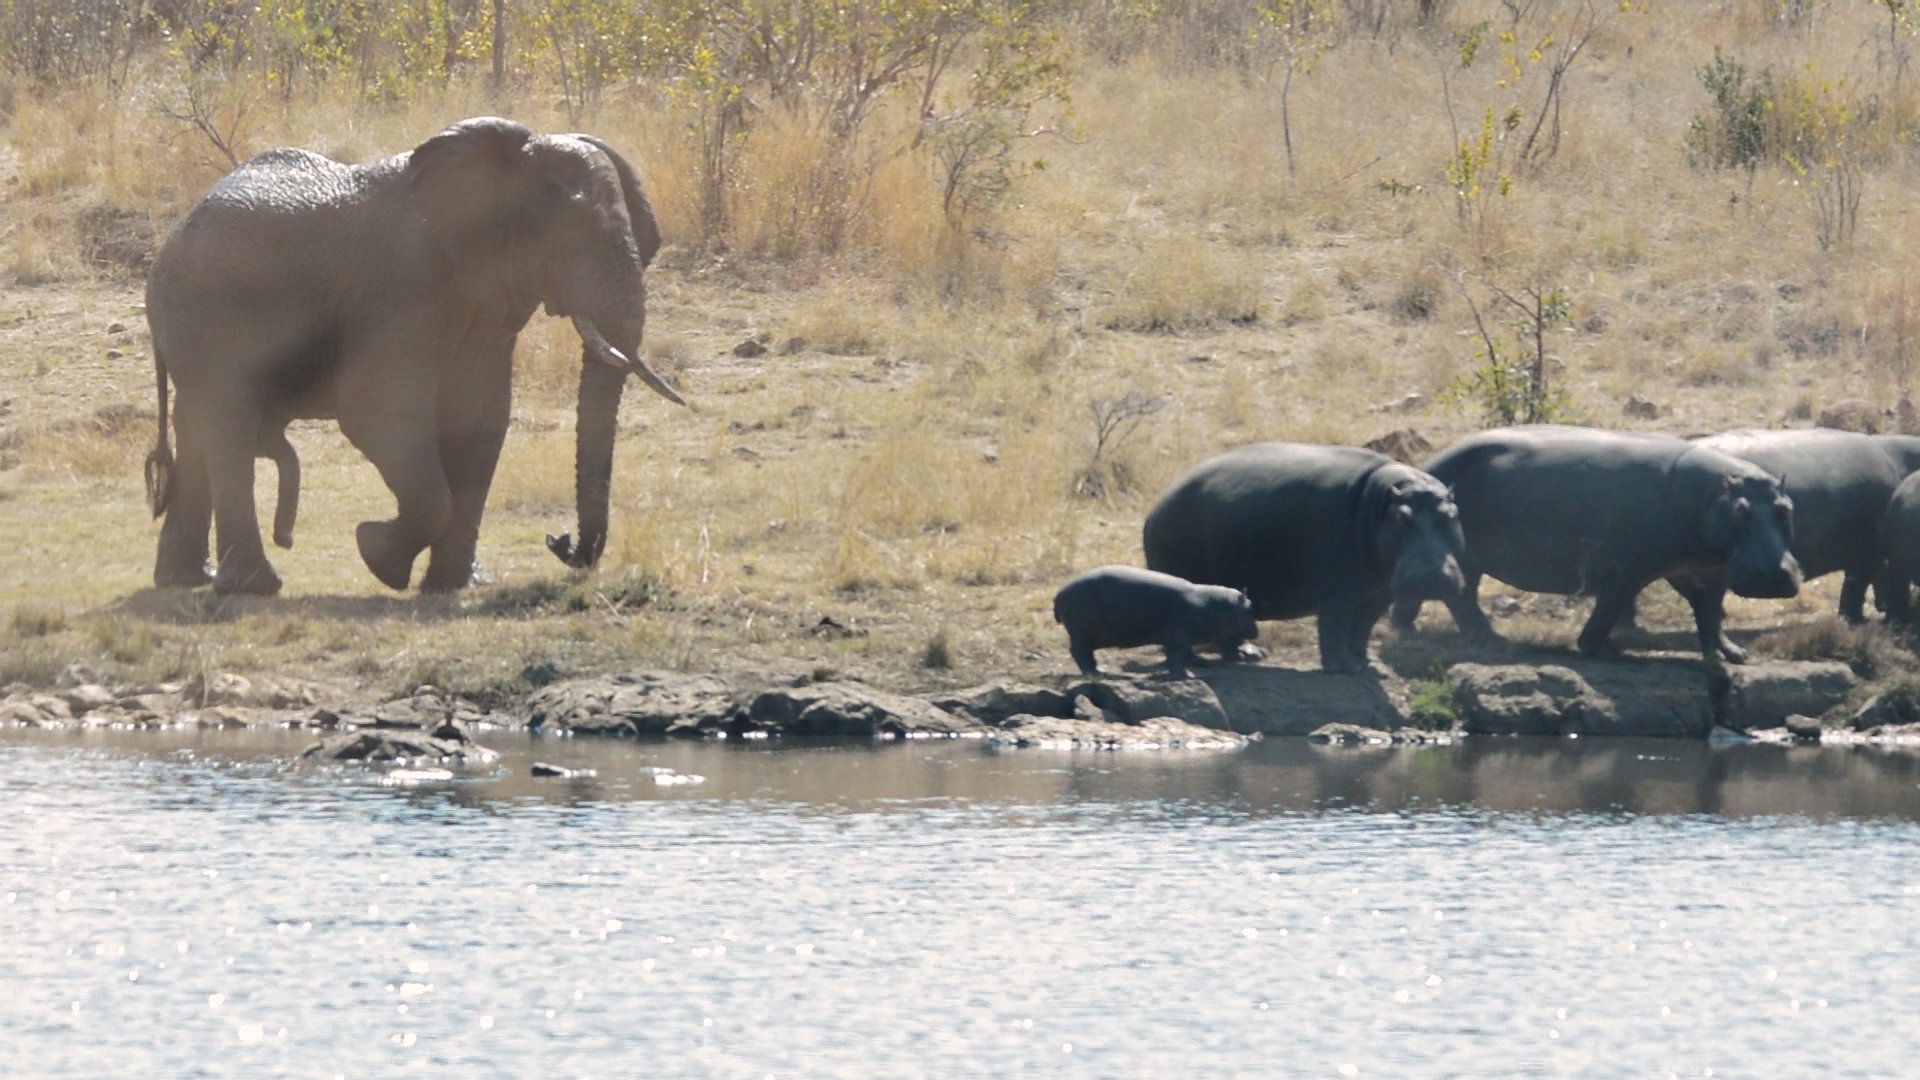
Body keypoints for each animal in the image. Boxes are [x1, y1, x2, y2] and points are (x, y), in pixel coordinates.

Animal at [142, 116, 686, 594]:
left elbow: (480, 418)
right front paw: (376, 553)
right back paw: (254, 587)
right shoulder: (403, 285)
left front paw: (454, 585)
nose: (561, 543)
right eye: (571, 235)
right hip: (203, 313)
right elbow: (378, 410)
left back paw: (188, 579)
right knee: (228, 423)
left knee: (198, 428)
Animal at [1051, 565, 1258, 679]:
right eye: (1249, 607)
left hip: (1087, 635)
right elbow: (1176, 658)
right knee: (1079, 653)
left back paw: (1101, 671)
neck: (1214, 606)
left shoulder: (1182, 639)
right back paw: (1093, 674)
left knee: (1086, 655)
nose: (1257, 632)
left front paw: (1201, 663)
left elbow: (1186, 655)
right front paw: (1185, 677)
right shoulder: (1177, 637)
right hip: (1081, 633)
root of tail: (1058, 595)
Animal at [1141, 443, 1465, 673]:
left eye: (1450, 515)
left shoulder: (1380, 592)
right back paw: (1195, 660)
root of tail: (1156, 507)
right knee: (1181, 632)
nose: (1430, 576)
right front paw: (1344, 667)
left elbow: (1362, 628)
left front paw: (1365, 663)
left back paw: (1251, 655)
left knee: (1228, 631)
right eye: (1401, 518)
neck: (1382, 501)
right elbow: (1334, 626)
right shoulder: (1339, 592)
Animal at [1390, 425, 1801, 663]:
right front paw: (1602, 650)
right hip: (1467, 557)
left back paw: (1406, 630)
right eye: (1740, 513)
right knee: (1462, 599)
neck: (1713, 496)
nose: (1774, 574)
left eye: (1786, 509)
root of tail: (1427, 465)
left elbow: (1711, 613)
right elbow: (1611, 605)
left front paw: (1733, 654)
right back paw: (1493, 641)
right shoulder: (1629, 568)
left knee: (1437, 593)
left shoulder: (1706, 571)